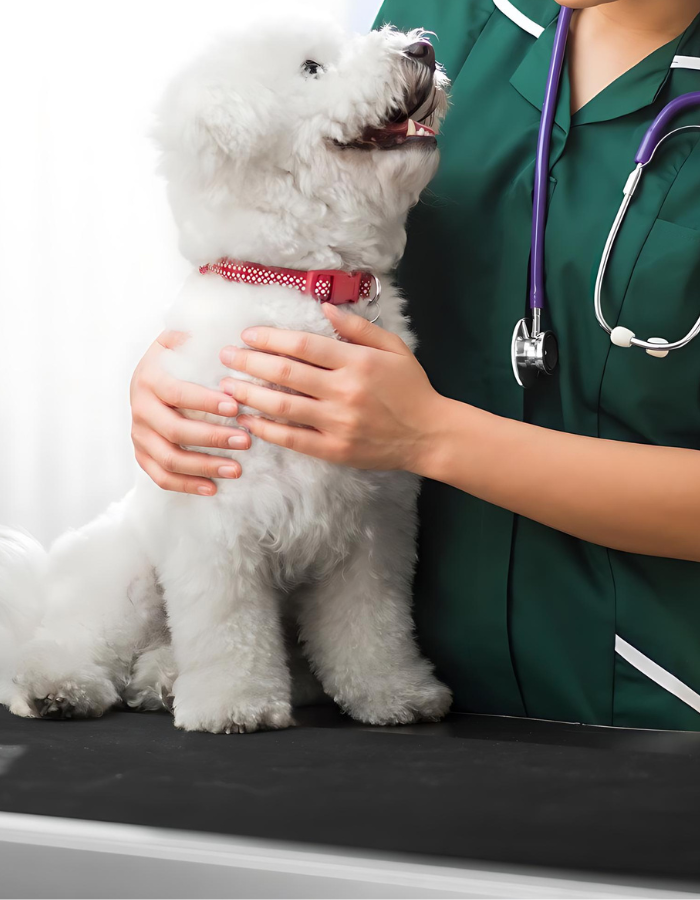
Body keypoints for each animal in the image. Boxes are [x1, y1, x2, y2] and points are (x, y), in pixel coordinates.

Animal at [0, 15, 452, 732]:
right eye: (312, 68)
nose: (422, 49)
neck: (299, 283)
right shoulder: (216, 522)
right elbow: (227, 628)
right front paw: (232, 703)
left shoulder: (373, 528)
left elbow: (374, 626)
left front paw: (395, 693)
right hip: (125, 578)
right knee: (64, 643)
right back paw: (58, 686)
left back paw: (160, 680)